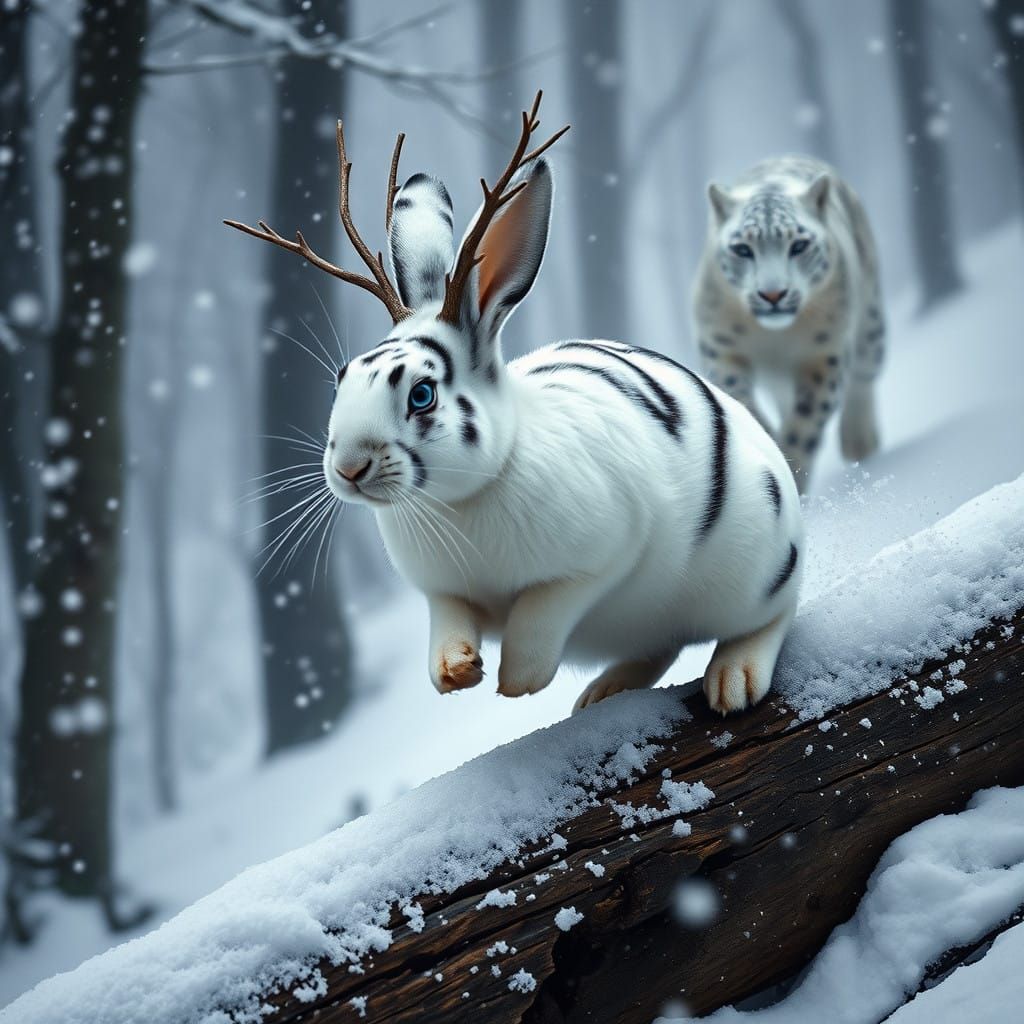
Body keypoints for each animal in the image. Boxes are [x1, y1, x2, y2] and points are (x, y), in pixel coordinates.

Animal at [227, 94, 804, 715]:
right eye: (342, 377)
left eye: (422, 394)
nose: (348, 468)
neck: (463, 499)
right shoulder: (442, 593)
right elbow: (448, 624)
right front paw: (455, 672)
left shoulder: (599, 559)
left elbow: (540, 614)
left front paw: (516, 681)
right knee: (662, 645)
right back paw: (602, 693)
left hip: (755, 571)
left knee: (774, 613)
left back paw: (734, 680)